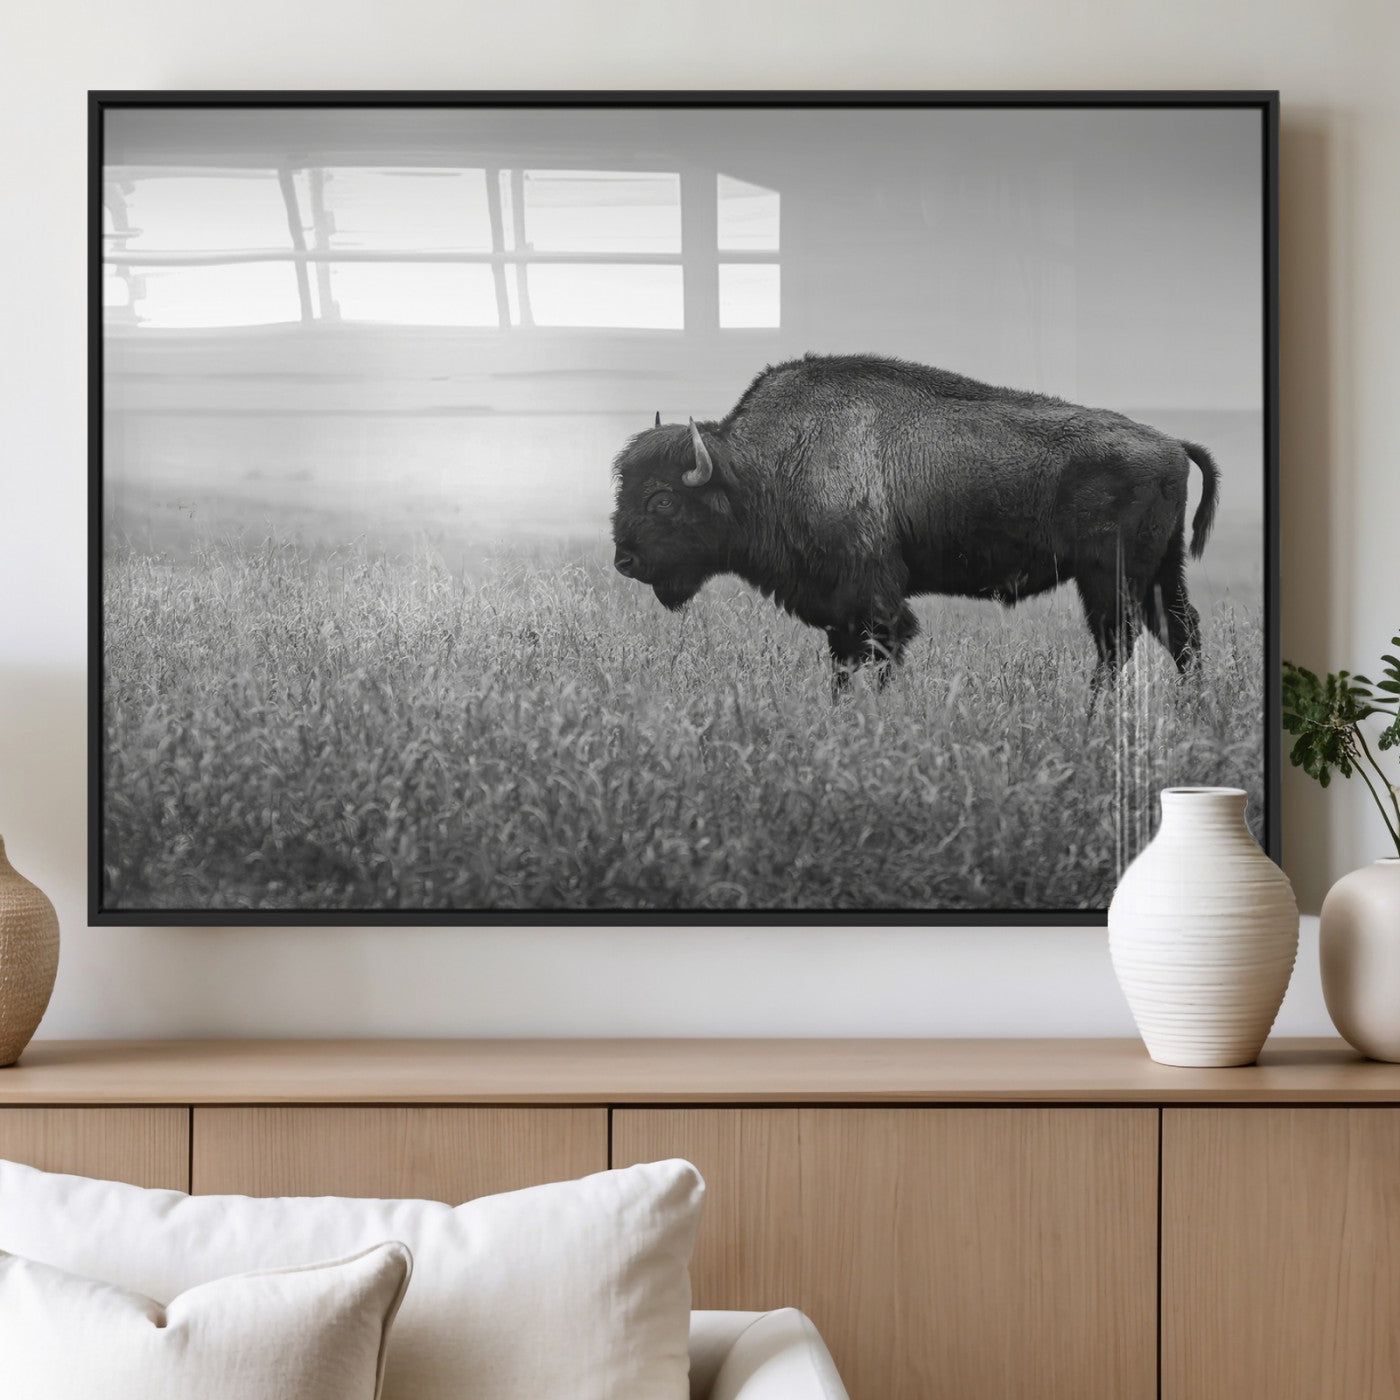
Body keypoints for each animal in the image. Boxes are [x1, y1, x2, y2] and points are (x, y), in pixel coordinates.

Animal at [610, 354, 1219, 692]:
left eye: (662, 500)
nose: (624, 560)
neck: (763, 466)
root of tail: (1171, 443)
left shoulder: (874, 602)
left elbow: (879, 655)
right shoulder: (839, 612)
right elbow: (842, 667)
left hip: (1108, 578)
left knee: (1118, 644)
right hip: (1160, 572)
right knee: (1181, 634)